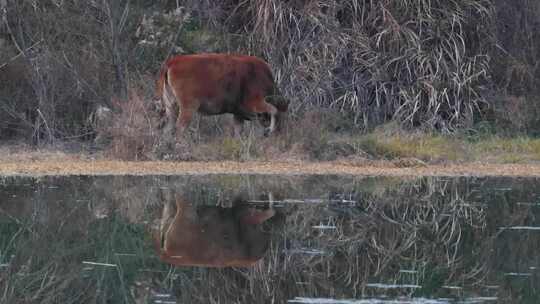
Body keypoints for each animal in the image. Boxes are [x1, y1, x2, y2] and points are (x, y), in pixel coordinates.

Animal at [155, 53, 286, 141]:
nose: (280, 134)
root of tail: (172, 62)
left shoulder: (238, 114)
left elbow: (238, 131)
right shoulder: (256, 103)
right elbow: (273, 110)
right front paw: (269, 130)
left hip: (171, 107)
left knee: (168, 128)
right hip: (188, 108)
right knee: (180, 127)